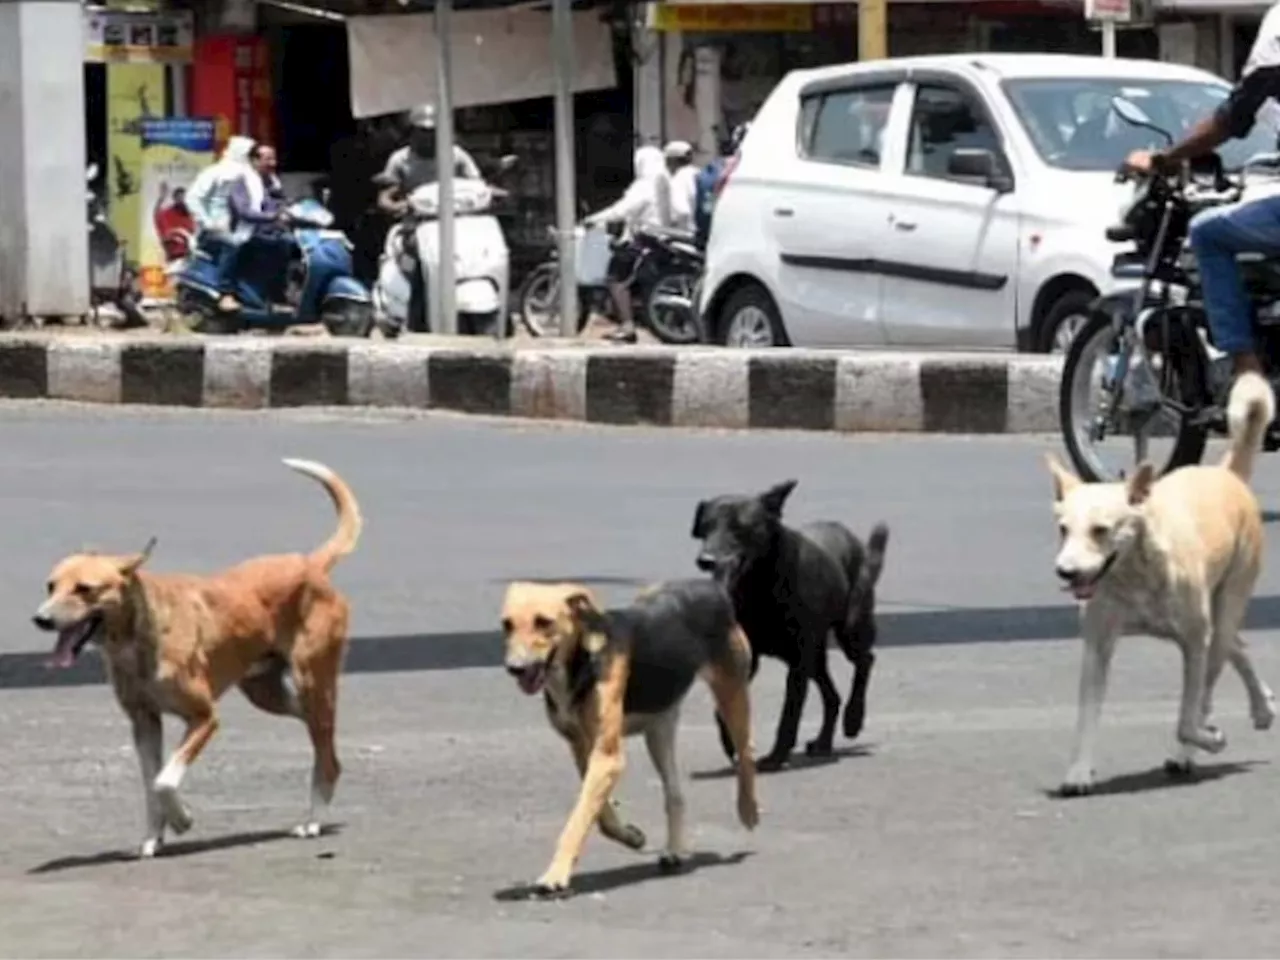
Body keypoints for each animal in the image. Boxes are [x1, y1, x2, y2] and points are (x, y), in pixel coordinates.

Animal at [32, 463, 360, 860]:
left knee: (326, 752)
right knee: (321, 735)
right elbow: (150, 784)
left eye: (85, 589)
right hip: (267, 693)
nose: (41, 619)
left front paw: (182, 819)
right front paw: (153, 836)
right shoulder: (144, 722)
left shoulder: (204, 718)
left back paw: (313, 819)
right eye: (51, 586)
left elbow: (163, 780)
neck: (138, 638)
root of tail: (310, 564)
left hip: (312, 679)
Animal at [499, 578, 757, 901]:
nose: (515, 667)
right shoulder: (583, 750)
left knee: (746, 754)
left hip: (732, 694)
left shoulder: (607, 757)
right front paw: (631, 836)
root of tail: (710, 584)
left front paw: (556, 874)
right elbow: (600, 816)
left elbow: (578, 819)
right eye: (506, 625)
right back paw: (674, 850)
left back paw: (748, 810)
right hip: (658, 730)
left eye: (544, 622)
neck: (581, 659)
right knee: (675, 794)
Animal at [691, 481, 890, 773]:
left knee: (865, 660)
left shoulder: (797, 662)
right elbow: (726, 704)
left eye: (740, 527)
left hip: (850, 629)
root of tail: (851, 538)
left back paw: (853, 718)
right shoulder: (750, 659)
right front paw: (730, 742)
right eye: (706, 528)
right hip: (815, 657)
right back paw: (823, 741)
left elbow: (789, 713)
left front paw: (776, 757)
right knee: (832, 697)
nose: (706, 560)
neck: (760, 584)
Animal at [1044, 368, 1274, 798]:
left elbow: (1189, 715)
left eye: (1101, 530)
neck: (1134, 574)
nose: (1065, 572)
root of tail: (1227, 473)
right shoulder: (1097, 646)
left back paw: (1194, 747)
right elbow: (1086, 715)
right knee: (1237, 646)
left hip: (1226, 605)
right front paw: (1079, 771)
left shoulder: (1196, 644)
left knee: (1216, 668)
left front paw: (1204, 739)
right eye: (1063, 530)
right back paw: (1263, 705)